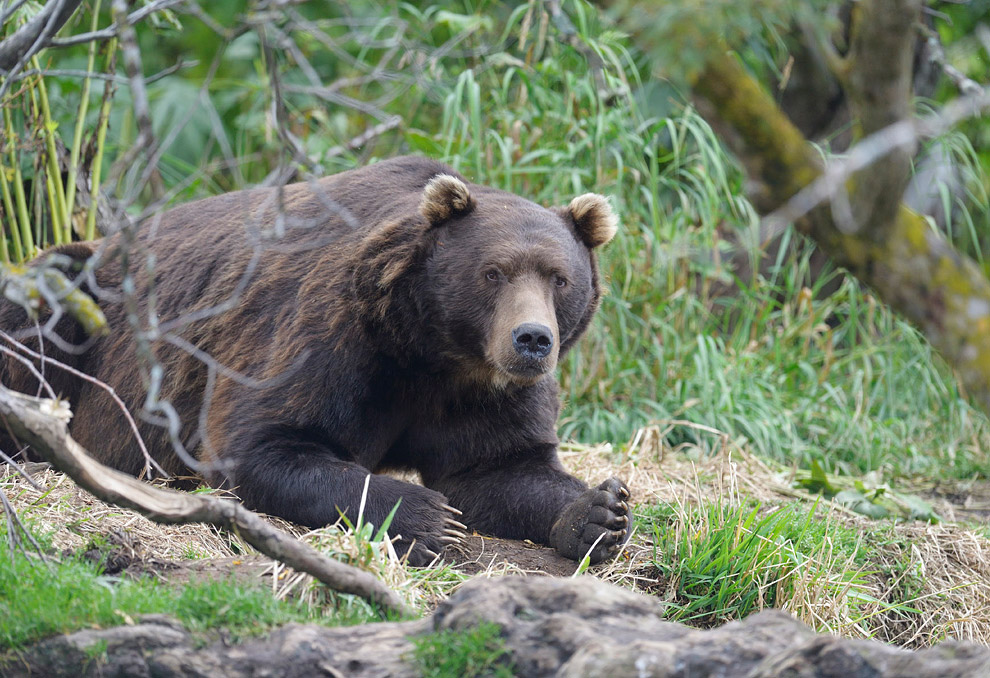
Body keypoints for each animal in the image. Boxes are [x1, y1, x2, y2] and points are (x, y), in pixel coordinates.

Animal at [0, 157, 632, 564]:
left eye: (559, 278)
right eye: (493, 273)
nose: (532, 339)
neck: (430, 348)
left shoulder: (483, 393)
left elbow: (501, 468)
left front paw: (599, 511)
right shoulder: (331, 339)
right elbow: (266, 442)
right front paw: (428, 519)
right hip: (82, 294)